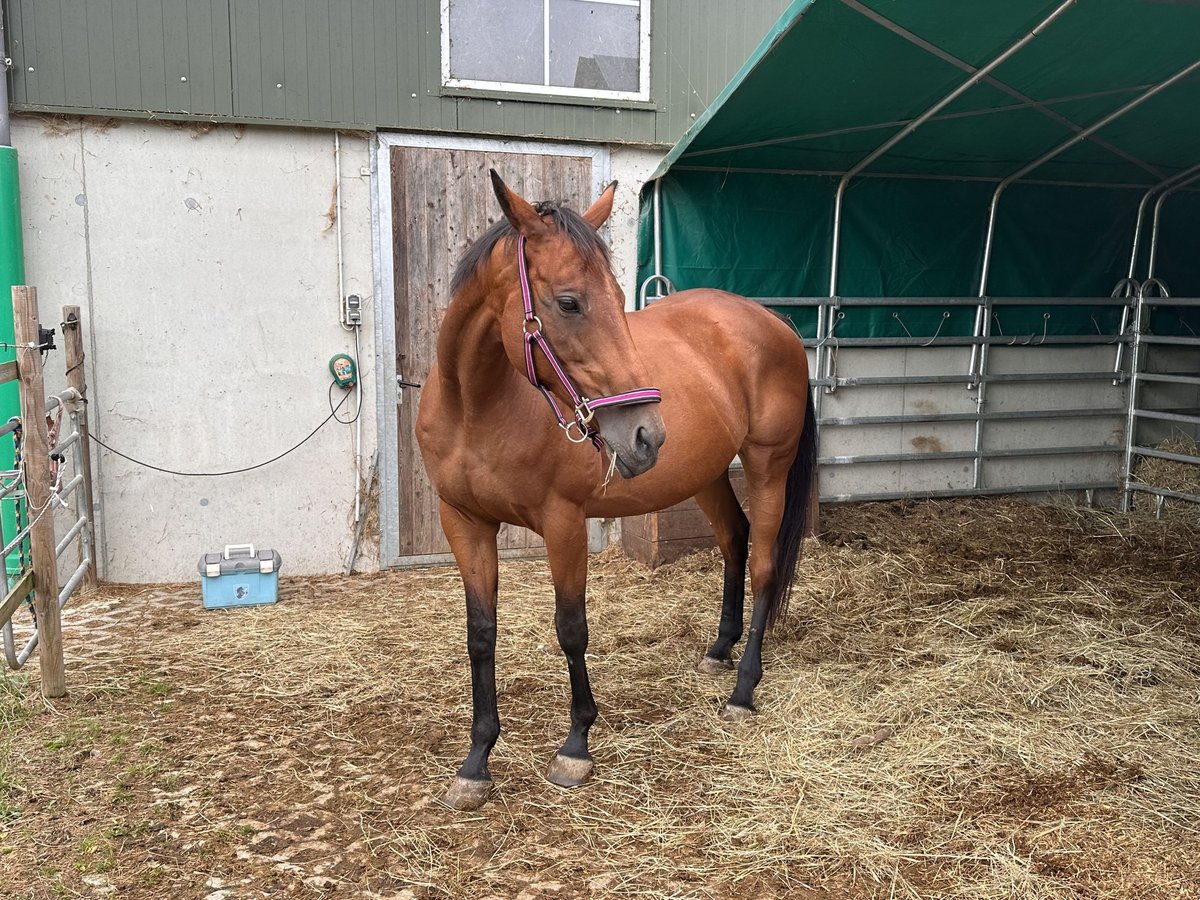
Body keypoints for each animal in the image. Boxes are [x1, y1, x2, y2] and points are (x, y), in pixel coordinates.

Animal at [412, 169, 816, 811]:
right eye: (569, 302)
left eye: (620, 299)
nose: (646, 434)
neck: (476, 407)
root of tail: (774, 322)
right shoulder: (465, 524)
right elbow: (481, 635)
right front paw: (476, 761)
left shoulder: (563, 523)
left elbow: (571, 629)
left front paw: (576, 745)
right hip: (705, 475)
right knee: (735, 538)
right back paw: (719, 651)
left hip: (767, 466)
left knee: (764, 565)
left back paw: (743, 689)